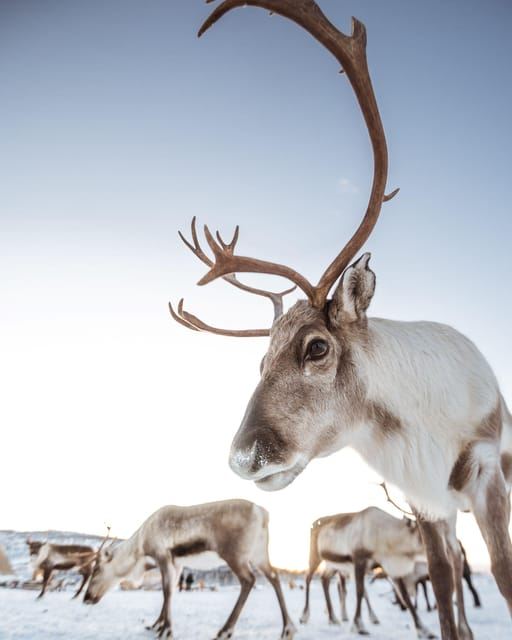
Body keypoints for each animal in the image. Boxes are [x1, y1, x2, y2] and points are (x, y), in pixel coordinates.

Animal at [83, 499, 296, 640]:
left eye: (97, 569)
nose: (86, 598)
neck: (141, 548)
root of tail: (263, 513)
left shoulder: (163, 556)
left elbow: (167, 591)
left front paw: (166, 630)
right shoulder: (177, 564)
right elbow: (169, 592)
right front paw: (156, 625)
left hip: (235, 556)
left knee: (249, 580)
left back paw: (225, 630)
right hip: (259, 555)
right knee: (274, 576)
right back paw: (288, 629)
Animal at [299, 507, 435, 637]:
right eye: (422, 535)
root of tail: (314, 523)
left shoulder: (389, 567)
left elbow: (405, 596)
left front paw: (425, 630)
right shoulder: (359, 560)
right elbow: (360, 592)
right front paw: (359, 626)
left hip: (333, 565)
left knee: (324, 579)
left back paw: (333, 618)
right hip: (315, 556)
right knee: (308, 578)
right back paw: (304, 616)